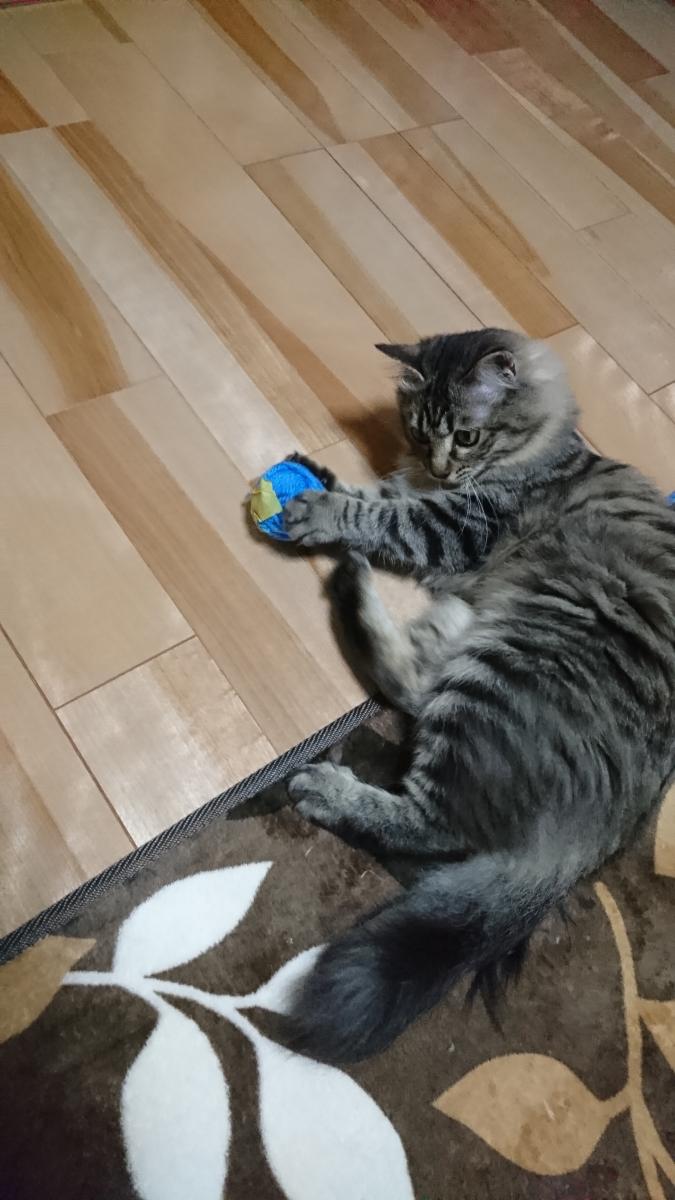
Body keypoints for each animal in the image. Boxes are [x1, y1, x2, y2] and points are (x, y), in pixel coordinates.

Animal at [281, 328, 675, 1064]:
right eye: (417, 427)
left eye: (466, 436)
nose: (440, 468)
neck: (542, 448)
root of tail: (609, 822)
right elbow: (382, 494)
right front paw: (315, 477)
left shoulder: (459, 525)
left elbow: (385, 514)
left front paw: (320, 508)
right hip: (468, 628)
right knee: (407, 685)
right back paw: (351, 582)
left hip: (498, 671)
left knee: (429, 823)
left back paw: (328, 787)